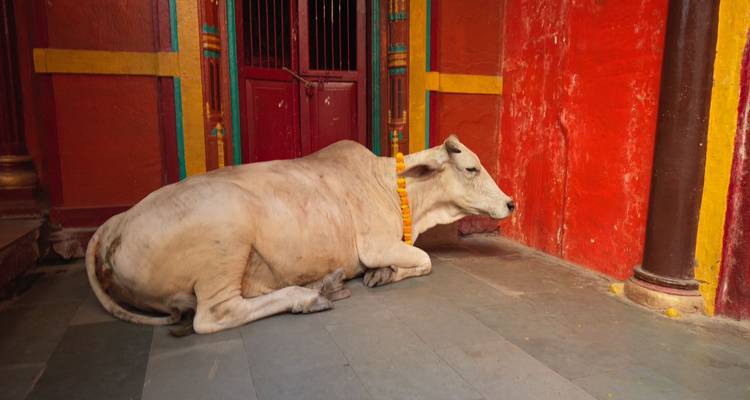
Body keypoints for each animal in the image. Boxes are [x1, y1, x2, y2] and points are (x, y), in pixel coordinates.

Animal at [85, 135, 515, 334]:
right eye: (472, 168)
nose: (511, 203)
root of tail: (114, 224)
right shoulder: (375, 245)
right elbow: (424, 260)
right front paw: (384, 273)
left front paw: (382, 275)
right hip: (225, 243)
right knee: (214, 314)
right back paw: (307, 296)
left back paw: (324, 285)